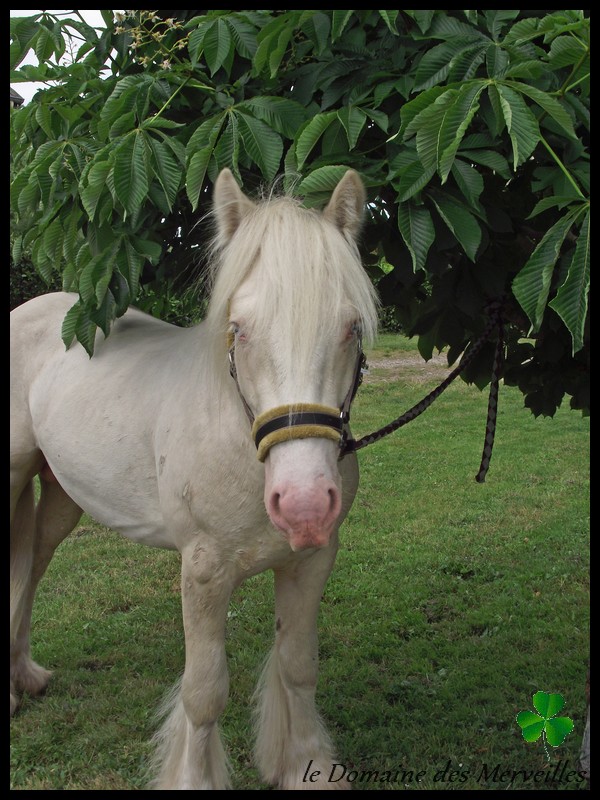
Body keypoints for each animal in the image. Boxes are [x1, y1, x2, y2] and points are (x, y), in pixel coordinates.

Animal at [10, 167, 380, 788]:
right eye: (239, 328)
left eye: (351, 327)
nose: (303, 504)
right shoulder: (204, 573)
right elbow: (204, 694)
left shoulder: (310, 561)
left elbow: (298, 668)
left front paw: (305, 763)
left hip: (62, 492)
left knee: (33, 560)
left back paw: (24, 674)